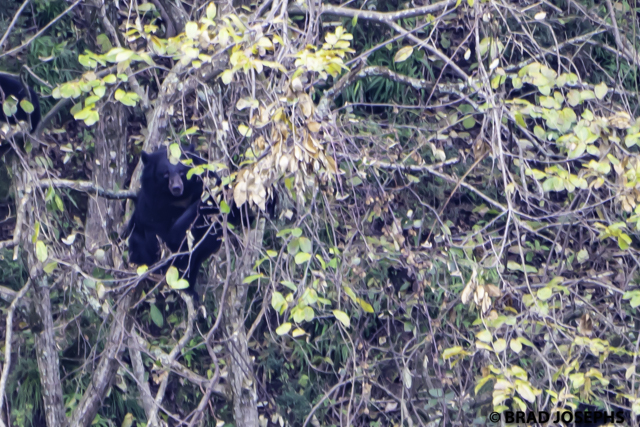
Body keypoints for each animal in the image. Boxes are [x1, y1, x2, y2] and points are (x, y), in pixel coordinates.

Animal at [127, 145, 262, 300]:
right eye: (165, 174)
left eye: (182, 171)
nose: (177, 188)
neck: (179, 199)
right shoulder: (152, 207)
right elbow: (167, 237)